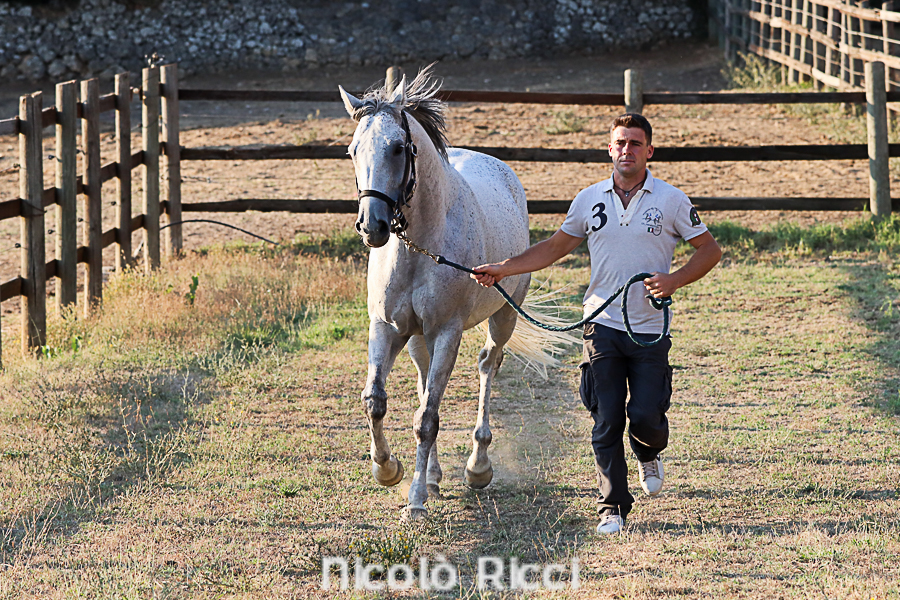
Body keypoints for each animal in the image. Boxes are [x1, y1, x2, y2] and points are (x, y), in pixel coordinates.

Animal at [339, 67, 568, 520]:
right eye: (354, 150)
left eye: (398, 148)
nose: (371, 226)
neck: (420, 248)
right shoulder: (386, 328)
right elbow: (377, 401)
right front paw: (388, 470)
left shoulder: (448, 332)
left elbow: (427, 419)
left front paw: (415, 501)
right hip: (417, 338)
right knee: (426, 379)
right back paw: (432, 474)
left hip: (503, 318)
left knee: (488, 365)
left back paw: (477, 467)